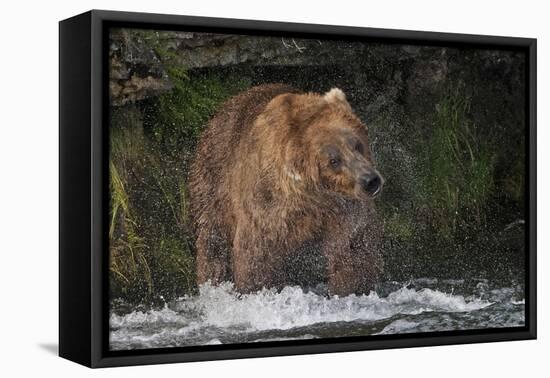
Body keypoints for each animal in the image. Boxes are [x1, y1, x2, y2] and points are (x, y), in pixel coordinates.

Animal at [189, 84, 384, 296]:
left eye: (357, 145)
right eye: (333, 160)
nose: (370, 180)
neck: (312, 197)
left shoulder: (343, 208)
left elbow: (352, 247)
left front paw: (353, 287)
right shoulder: (267, 204)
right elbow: (257, 252)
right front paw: (257, 288)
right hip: (214, 178)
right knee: (213, 239)